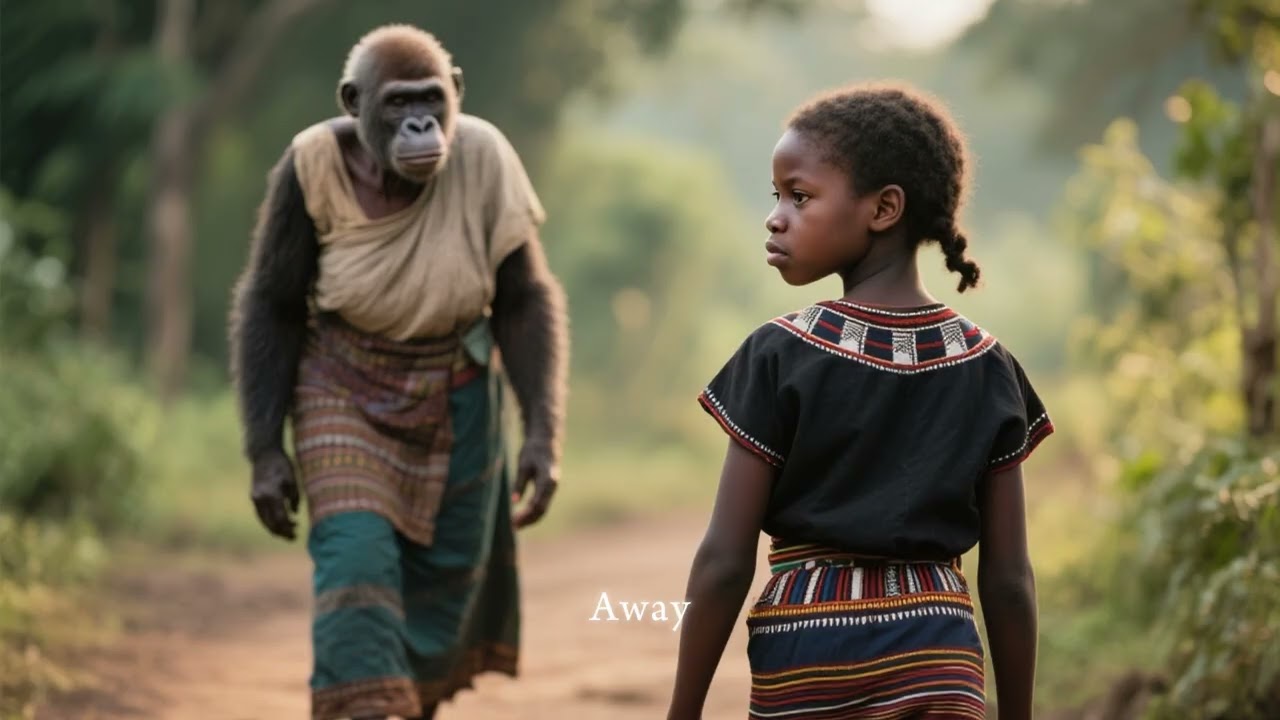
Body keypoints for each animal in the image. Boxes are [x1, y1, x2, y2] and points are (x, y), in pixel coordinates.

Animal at [227, 25, 567, 720]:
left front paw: (541, 460)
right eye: (396, 102)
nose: (418, 124)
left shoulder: (498, 161)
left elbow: (522, 297)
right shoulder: (292, 181)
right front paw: (269, 472)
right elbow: (275, 300)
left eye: (431, 97)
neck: (384, 173)